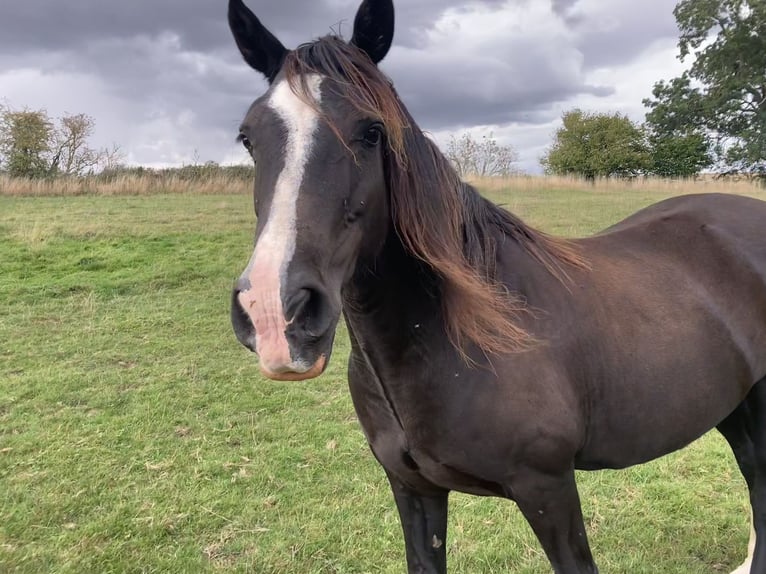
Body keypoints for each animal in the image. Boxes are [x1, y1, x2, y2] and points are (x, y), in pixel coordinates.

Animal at [226, 1, 766, 571]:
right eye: (249, 138)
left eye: (371, 130)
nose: (274, 313)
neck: (455, 333)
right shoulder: (413, 489)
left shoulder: (548, 490)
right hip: (735, 406)